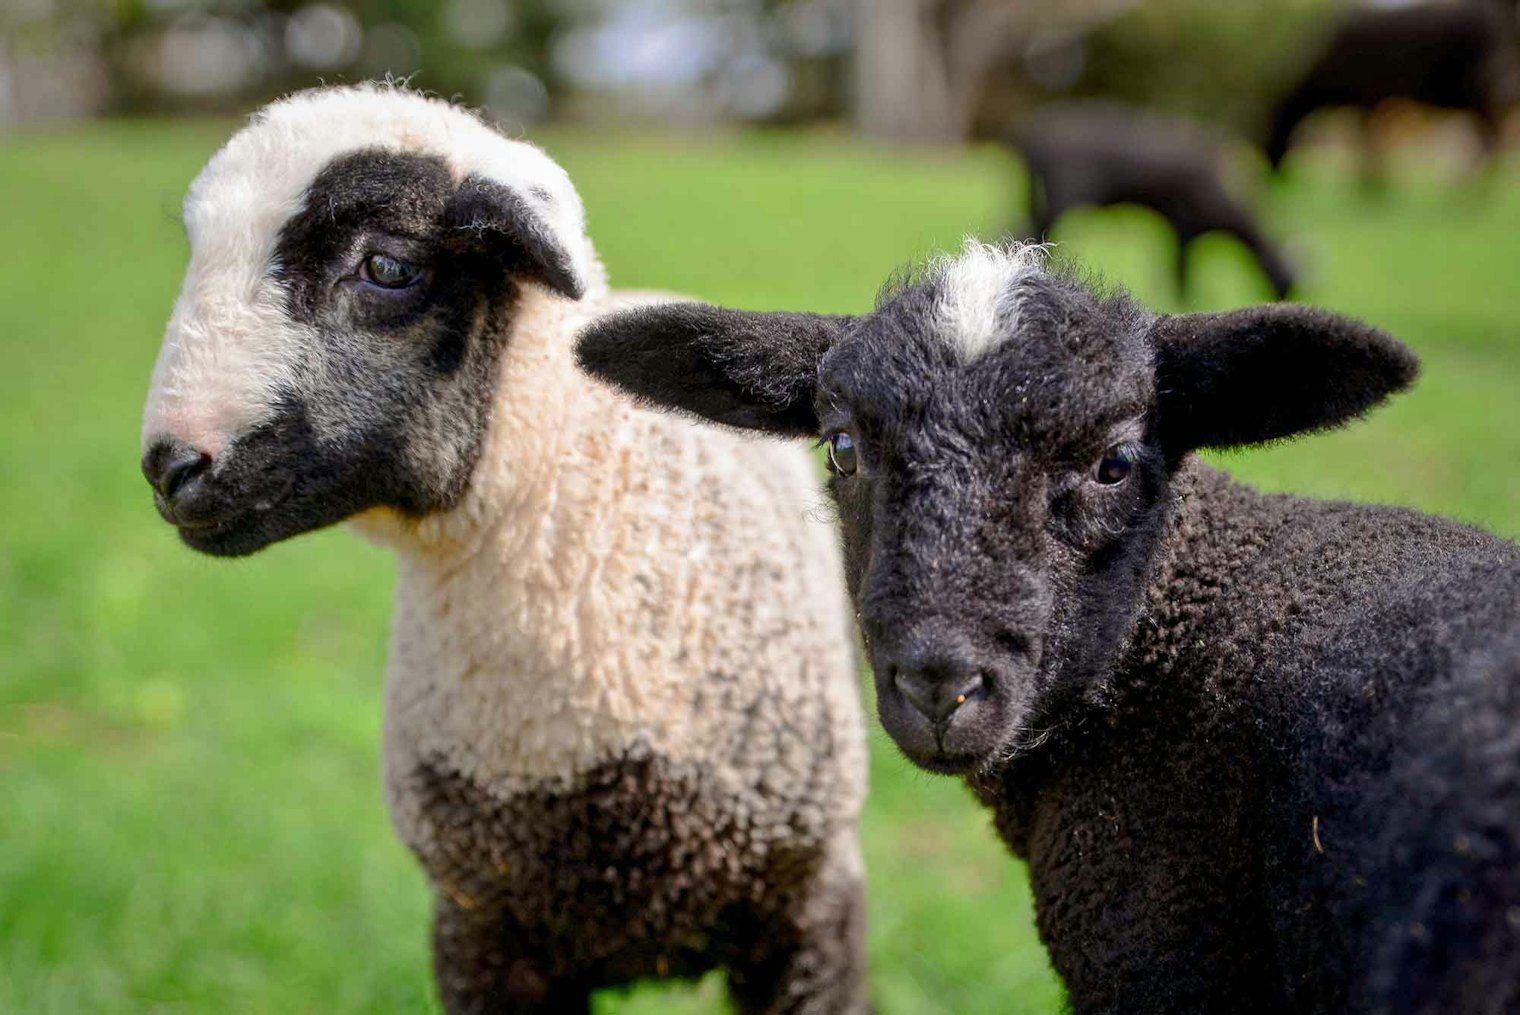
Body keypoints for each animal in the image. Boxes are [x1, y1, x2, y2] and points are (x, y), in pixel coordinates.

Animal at [1007, 102, 1295, 300]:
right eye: (1284, 281)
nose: (1285, 301)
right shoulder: (1184, 228)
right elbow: (1181, 274)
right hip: (1064, 197)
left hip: (1037, 197)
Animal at [1264, 0, 1519, 182]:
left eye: (1272, 134)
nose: (1274, 173)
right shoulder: (1374, 102)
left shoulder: (1366, 97)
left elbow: (1368, 142)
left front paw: (1372, 184)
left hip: (1483, 93)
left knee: (1491, 141)